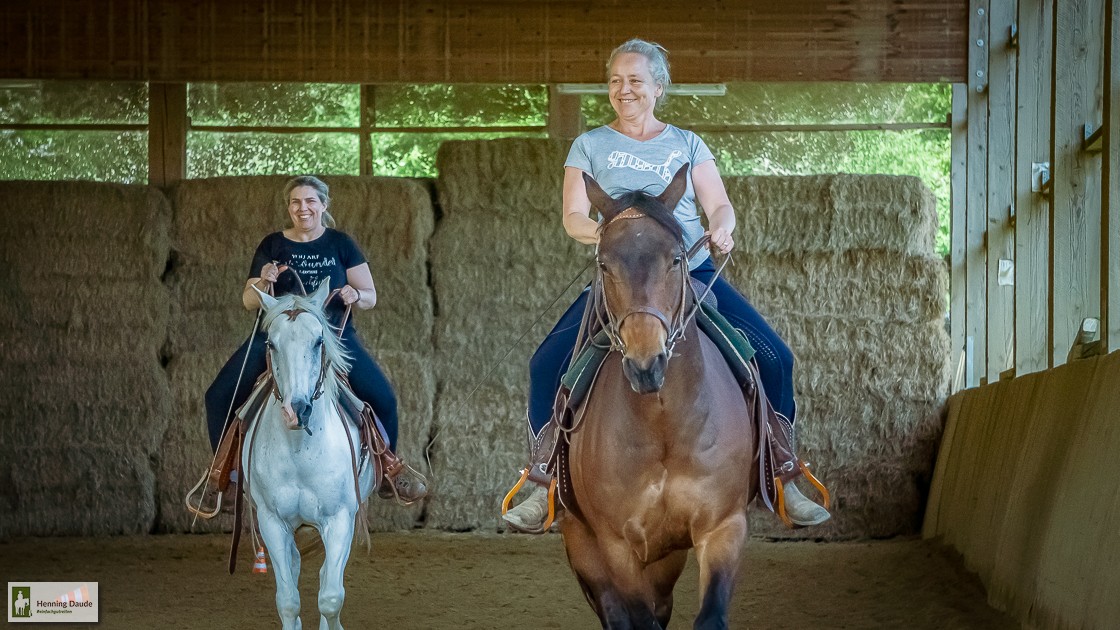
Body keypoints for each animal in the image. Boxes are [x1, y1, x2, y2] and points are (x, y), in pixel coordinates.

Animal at [245, 279, 376, 630]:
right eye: (271, 344)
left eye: (319, 341)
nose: (298, 410)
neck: (300, 452)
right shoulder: (272, 521)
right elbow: (288, 600)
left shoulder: (339, 519)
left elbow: (330, 597)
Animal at [560, 165, 757, 630]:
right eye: (604, 263)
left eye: (676, 259)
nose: (645, 363)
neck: (664, 424)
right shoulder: (616, 546)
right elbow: (637, 619)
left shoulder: (723, 527)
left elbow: (709, 617)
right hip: (582, 542)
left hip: (667, 557)